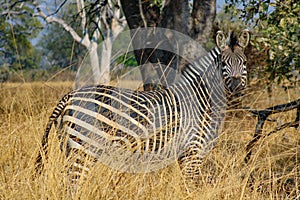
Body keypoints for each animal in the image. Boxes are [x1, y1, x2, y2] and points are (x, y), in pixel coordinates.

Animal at [36, 29, 250, 188]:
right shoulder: (193, 150)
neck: (201, 98)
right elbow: (193, 186)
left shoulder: (185, 154)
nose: (237, 86)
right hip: (85, 145)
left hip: (69, 144)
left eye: (245, 62)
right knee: (73, 182)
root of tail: (70, 96)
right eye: (224, 63)